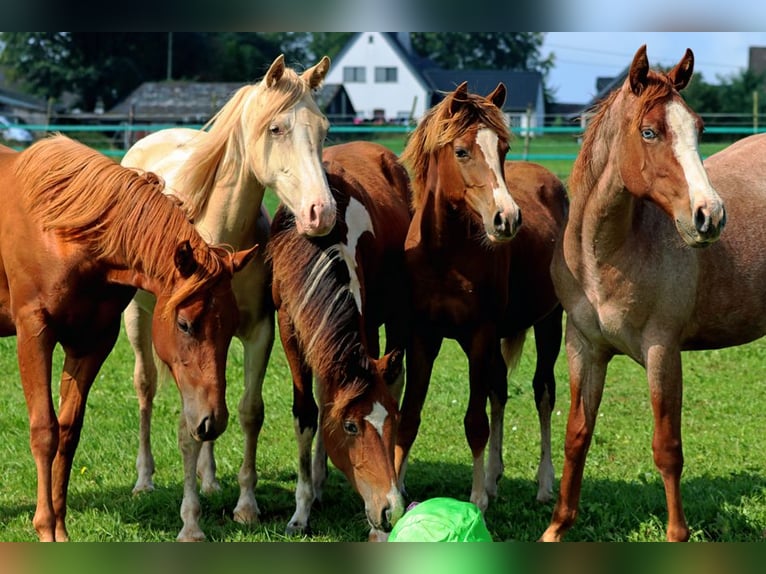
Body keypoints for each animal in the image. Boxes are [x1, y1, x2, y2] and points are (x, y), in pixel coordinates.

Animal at [0, 136, 256, 544]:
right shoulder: (34, 334)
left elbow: (68, 432)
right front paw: (44, 528)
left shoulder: (92, 343)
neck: (65, 230)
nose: (212, 421)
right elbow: (45, 431)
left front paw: (60, 528)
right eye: (185, 325)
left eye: (231, 327)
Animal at [121, 54, 336, 544]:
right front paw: (190, 524)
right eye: (276, 128)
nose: (322, 212)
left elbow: (247, 412)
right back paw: (144, 480)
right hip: (136, 321)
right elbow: (186, 427)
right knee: (146, 388)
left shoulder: (258, 332)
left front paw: (246, 506)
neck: (216, 239)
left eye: (323, 129)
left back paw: (210, 477)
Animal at [270, 142, 414, 544]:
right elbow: (308, 413)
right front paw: (301, 511)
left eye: (392, 420)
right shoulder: (289, 327)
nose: (390, 510)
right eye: (351, 427)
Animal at [396, 81, 568, 512]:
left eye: (504, 149)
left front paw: (475, 500)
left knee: (543, 392)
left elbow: (475, 422)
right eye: (461, 151)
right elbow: (409, 416)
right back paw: (493, 477)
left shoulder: (479, 336)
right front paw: (395, 493)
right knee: (500, 390)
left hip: (549, 323)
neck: (444, 254)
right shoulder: (423, 337)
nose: (507, 218)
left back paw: (544, 483)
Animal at [540, 46, 732, 544]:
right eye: (650, 132)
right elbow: (576, 434)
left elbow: (667, 447)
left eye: (700, 129)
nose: (709, 215)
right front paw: (557, 527)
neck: (608, 254)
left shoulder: (663, 351)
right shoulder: (583, 348)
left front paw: (677, 535)